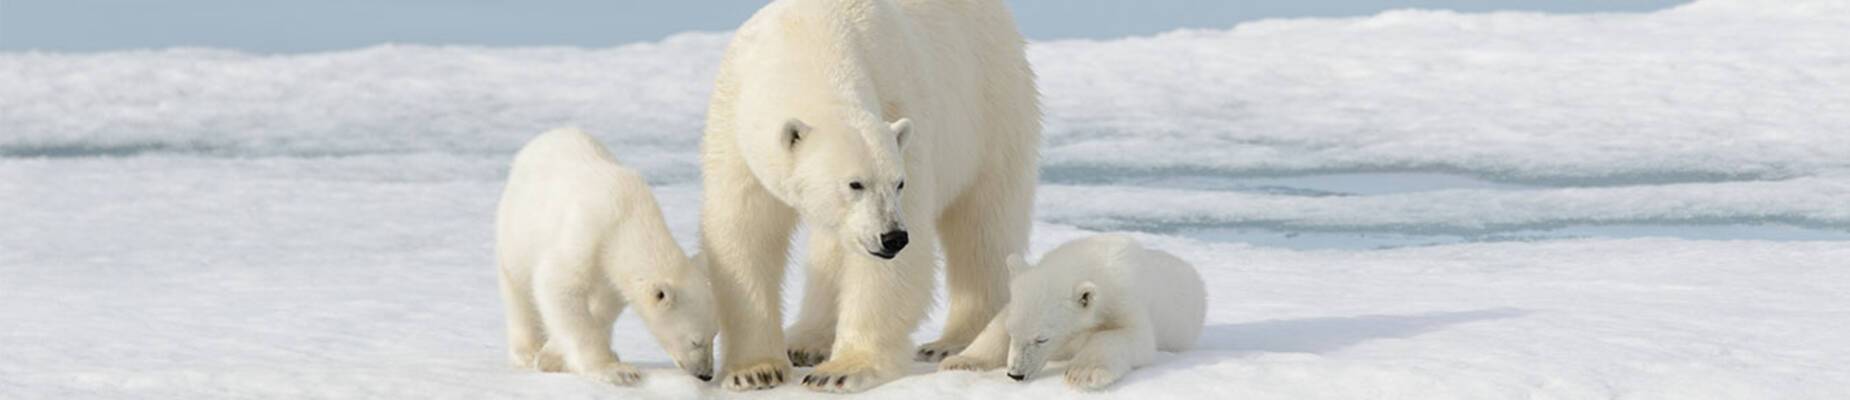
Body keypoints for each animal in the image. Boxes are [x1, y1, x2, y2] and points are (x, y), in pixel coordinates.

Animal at [495, 128, 720, 385]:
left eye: (715, 334)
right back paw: (527, 350)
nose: (706, 374)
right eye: (695, 340)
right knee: (518, 289)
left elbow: (603, 306)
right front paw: (617, 370)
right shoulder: (586, 233)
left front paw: (555, 356)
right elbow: (558, 284)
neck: (626, 220)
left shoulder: (611, 274)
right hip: (516, 230)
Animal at [697, 0, 1041, 393]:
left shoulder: (901, 108)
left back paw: (952, 342)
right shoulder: (733, 126)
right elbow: (742, 232)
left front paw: (841, 370)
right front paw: (754, 371)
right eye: (854, 184)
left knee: (982, 227)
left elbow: (891, 268)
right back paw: (806, 341)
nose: (893, 238)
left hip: (992, 107)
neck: (809, 40)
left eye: (898, 183)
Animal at [939, 234, 1207, 391]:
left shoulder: (1125, 300)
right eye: (1012, 332)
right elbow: (995, 326)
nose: (1016, 374)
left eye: (1042, 338)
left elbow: (1129, 337)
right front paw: (959, 362)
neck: (1097, 263)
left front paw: (1082, 373)